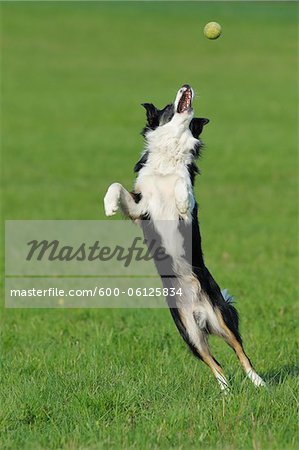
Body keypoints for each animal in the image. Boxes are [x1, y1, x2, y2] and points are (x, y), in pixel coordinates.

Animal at [104, 83, 266, 390]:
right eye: (169, 106)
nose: (186, 86)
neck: (169, 154)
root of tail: (198, 311)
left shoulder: (189, 211)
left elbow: (183, 186)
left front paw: (179, 197)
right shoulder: (140, 207)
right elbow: (116, 186)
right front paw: (108, 205)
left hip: (221, 315)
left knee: (241, 352)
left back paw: (258, 382)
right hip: (188, 333)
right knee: (215, 363)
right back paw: (226, 391)